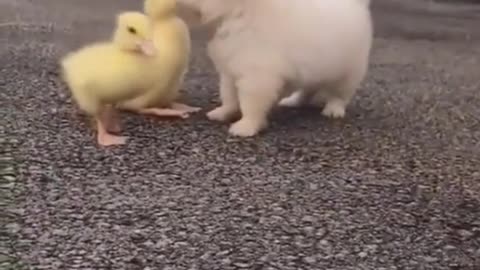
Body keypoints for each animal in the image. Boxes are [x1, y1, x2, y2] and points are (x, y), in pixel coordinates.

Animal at [176, 0, 376, 137]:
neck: (237, 14)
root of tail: (356, 6)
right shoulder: (230, 72)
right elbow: (229, 96)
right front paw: (222, 112)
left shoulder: (257, 77)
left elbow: (250, 104)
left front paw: (246, 126)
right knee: (308, 89)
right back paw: (294, 101)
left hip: (349, 71)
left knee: (339, 94)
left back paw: (333, 110)